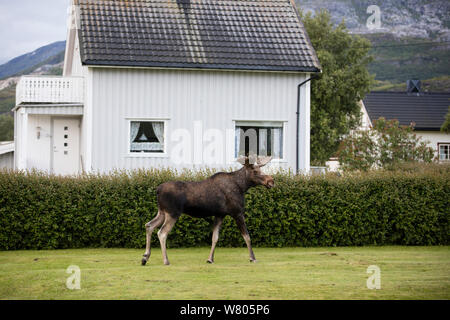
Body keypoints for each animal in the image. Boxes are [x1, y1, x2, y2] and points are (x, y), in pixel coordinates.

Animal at [142, 156, 274, 266]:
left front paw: (210, 259)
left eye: (261, 169)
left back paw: (145, 257)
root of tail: (157, 190)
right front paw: (253, 258)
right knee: (162, 233)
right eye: (255, 171)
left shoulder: (220, 214)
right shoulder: (237, 212)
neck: (242, 187)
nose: (271, 181)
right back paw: (166, 260)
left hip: (162, 212)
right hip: (172, 213)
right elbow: (247, 237)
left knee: (149, 225)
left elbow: (215, 237)